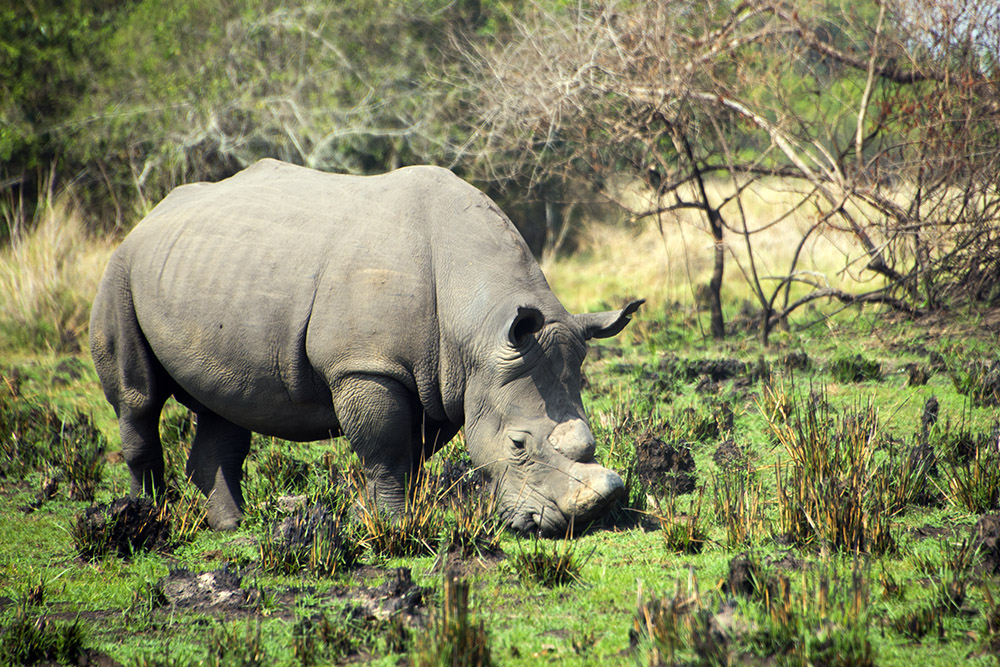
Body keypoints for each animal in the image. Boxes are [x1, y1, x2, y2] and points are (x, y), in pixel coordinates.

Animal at [89, 159, 642, 536]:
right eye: (518, 445)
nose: (579, 523)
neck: (478, 328)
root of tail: (151, 215)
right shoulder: (368, 366)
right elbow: (386, 451)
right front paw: (398, 529)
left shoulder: (444, 380)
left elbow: (412, 455)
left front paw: (409, 518)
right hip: (121, 269)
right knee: (138, 401)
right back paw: (144, 520)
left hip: (206, 271)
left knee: (224, 406)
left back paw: (232, 528)